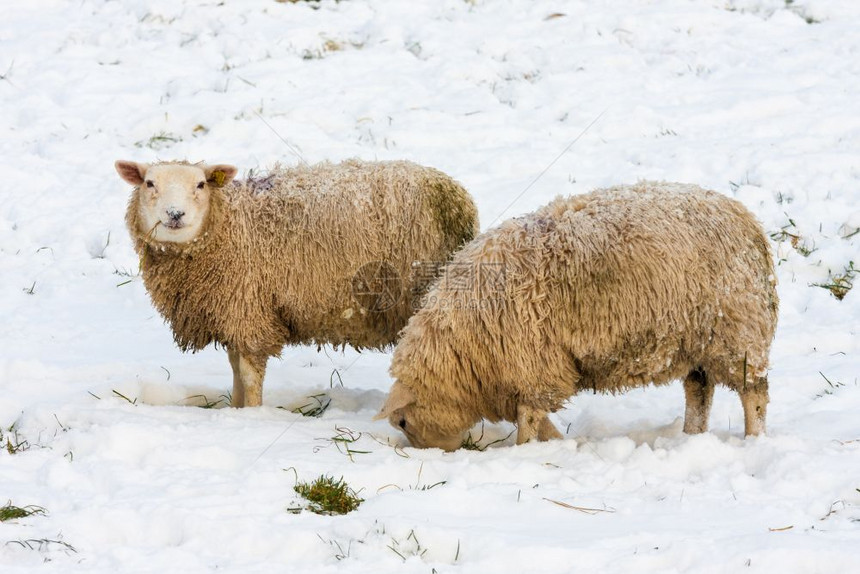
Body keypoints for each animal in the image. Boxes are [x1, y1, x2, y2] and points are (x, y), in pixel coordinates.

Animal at [113, 160, 478, 408]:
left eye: (201, 184)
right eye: (149, 183)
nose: (175, 214)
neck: (230, 226)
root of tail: (457, 197)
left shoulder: (249, 309)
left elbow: (249, 373)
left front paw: (251, 413)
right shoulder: (233, 311)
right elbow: (234, 369)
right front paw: (234, 410)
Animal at [376, 182, 780, 452]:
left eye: (403, 421)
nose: (435, 453)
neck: (462, 349)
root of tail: (750, 223)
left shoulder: (535, 366)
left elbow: (529, 418)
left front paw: (526, 451)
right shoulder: (527, 374)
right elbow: (538, 418)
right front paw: (559, 443)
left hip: (738, 332)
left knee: (754, 395)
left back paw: (755, 439)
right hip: (696, 342)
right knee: (699, 392)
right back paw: (691, 437)